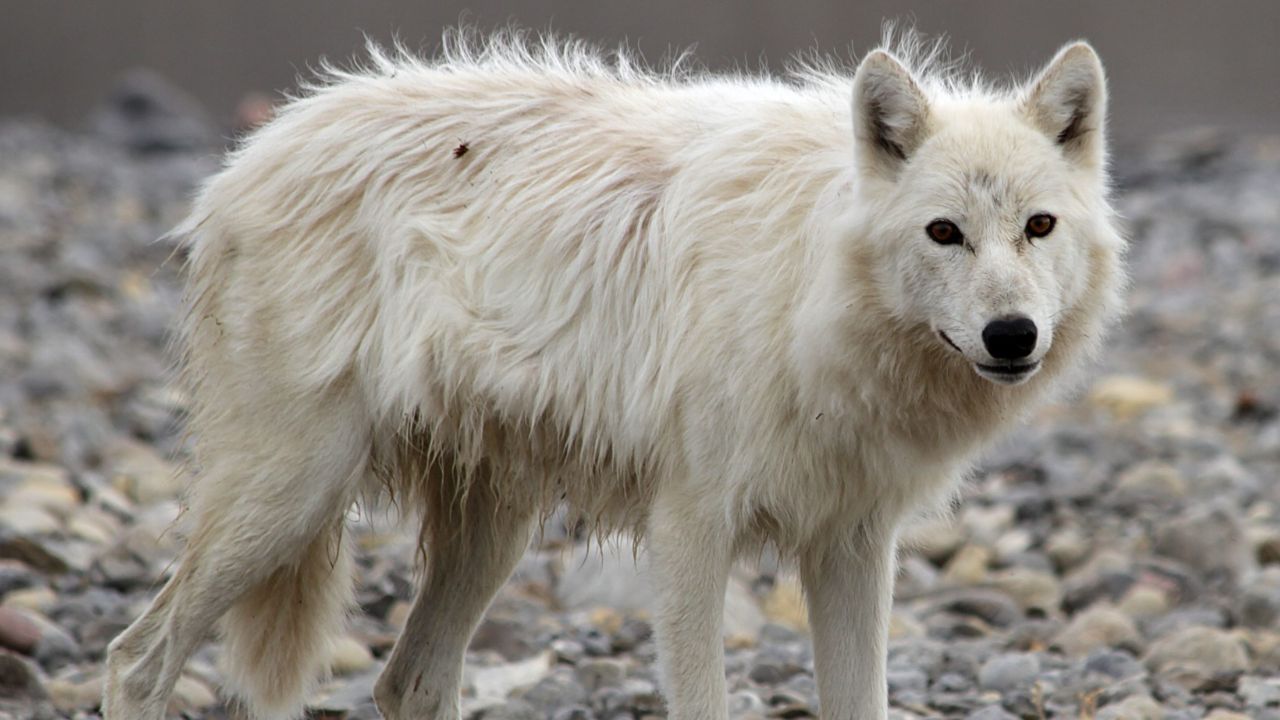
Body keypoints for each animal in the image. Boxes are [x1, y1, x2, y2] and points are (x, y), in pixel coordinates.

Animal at [103, 30, 1125, 720]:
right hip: (289, 498)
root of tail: (249, 156)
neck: (806, 288)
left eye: (1038, 227)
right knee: (135, 660)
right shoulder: (691, 531)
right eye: (944, 232)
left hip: (492, 536)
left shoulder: (852, 545)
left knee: (406, 684)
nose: (1010, 335)